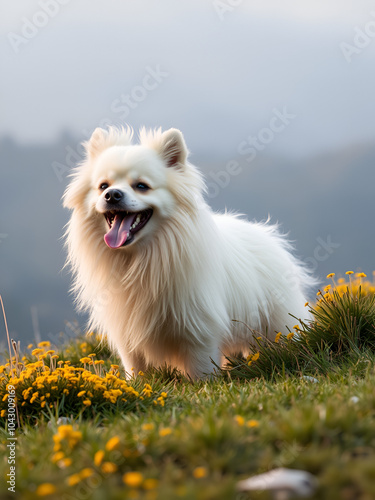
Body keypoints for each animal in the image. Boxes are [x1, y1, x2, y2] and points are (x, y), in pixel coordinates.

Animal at [64, 126, 314, 378]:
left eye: (142, 186)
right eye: (103, 186)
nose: (112, 195)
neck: (140, 258)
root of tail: (269, 236)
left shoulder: (199, 329)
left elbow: (201, 368)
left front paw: (205, 383)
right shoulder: (127, 333)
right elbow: (136, 367)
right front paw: (138, 383)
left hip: (278, 324)